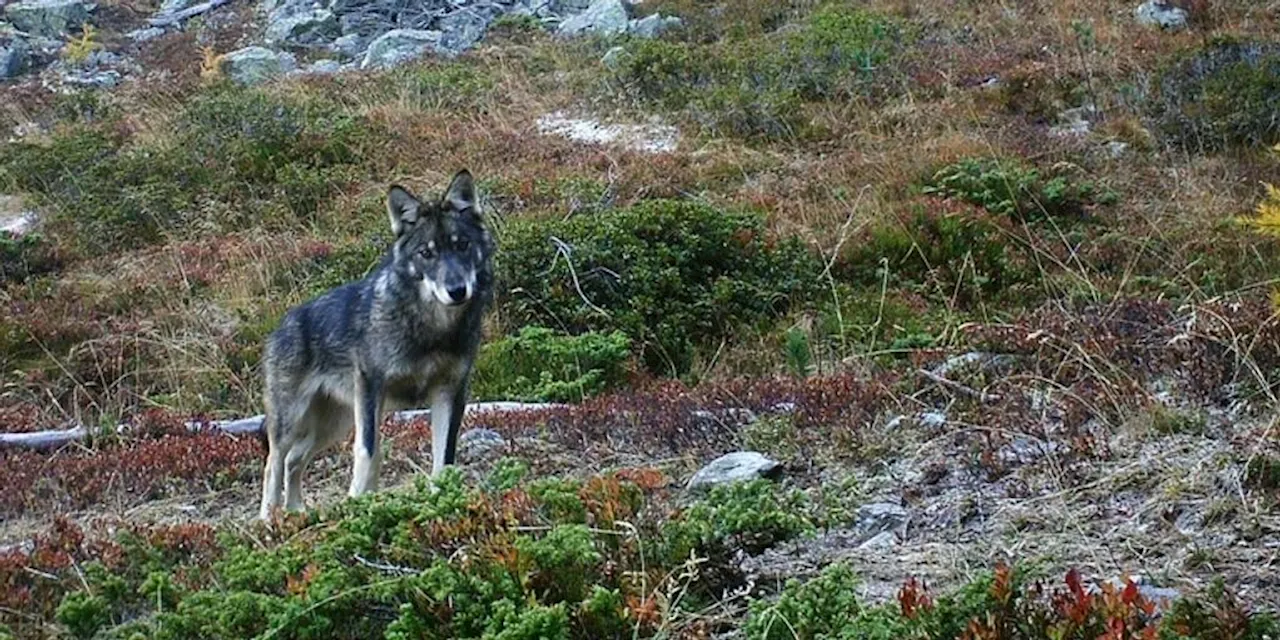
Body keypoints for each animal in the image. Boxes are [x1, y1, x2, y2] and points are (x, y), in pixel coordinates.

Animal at [257, 168, 491, 519]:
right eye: (427, 253)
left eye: (462, 245)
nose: (457, 290)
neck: (431, 329)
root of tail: (282, 324)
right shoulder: (371, 389)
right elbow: (369, 452)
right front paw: (359, 503)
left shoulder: (451, 392)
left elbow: (444, 459)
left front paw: (444, 502)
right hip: (293, 420)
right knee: (274, 463)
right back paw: (268, 520)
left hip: (332, 425)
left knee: (293, 461)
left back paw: (297, 514)